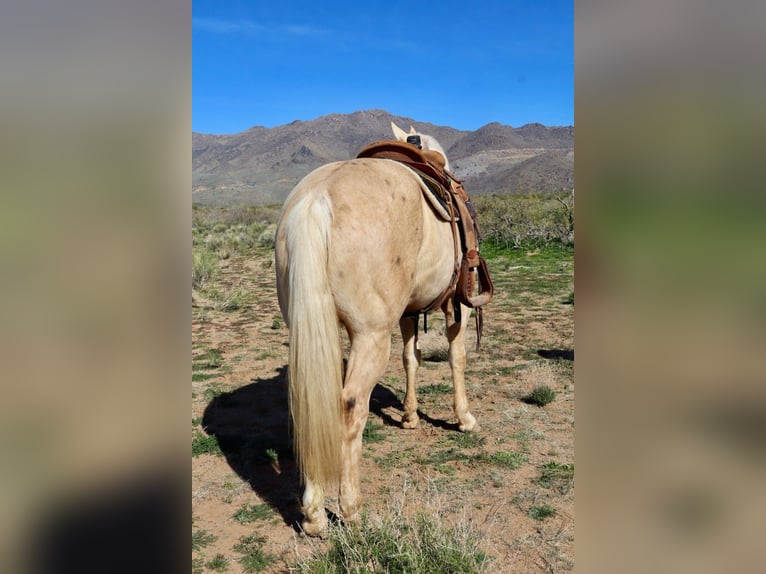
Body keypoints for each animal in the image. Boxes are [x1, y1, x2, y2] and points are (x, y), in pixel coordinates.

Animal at [275, 121, 479, 535]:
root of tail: (316, 199)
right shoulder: (457, 307)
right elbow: (457, 357)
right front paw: (464, 418)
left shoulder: (408, 312)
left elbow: (411, 358)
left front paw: (410, 417)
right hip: (370, 337)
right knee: (350, 406)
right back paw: (349, 509)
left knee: (312, 405)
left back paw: (314, 515)